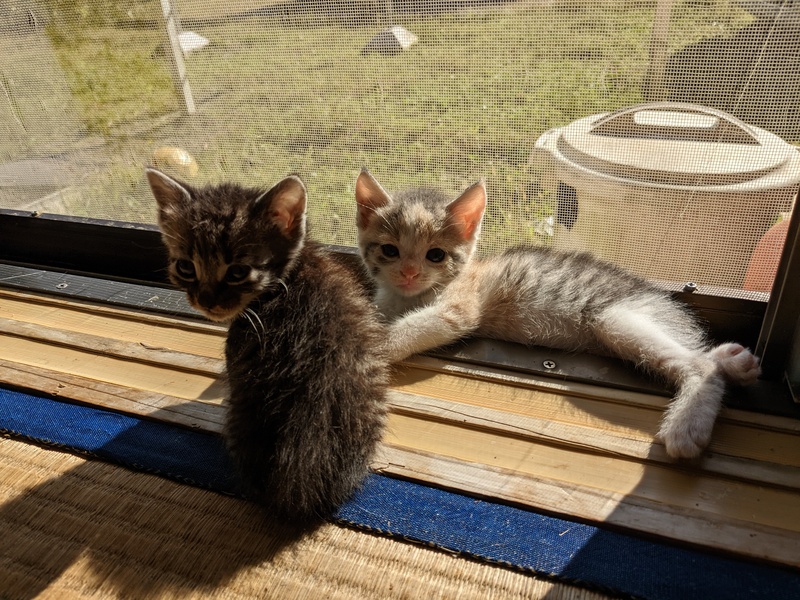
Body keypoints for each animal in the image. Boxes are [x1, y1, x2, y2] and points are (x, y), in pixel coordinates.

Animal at [354, 169, 761, 459]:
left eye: (435, 255)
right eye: (389, 250)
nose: (409, 273)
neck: (409, 297)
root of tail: (667, 304)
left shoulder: (459, 307)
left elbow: (410, 328)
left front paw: (369, 346)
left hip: (615, 316)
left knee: (699, 365)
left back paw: (688, 425)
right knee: (701, 353)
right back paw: (736, 361)